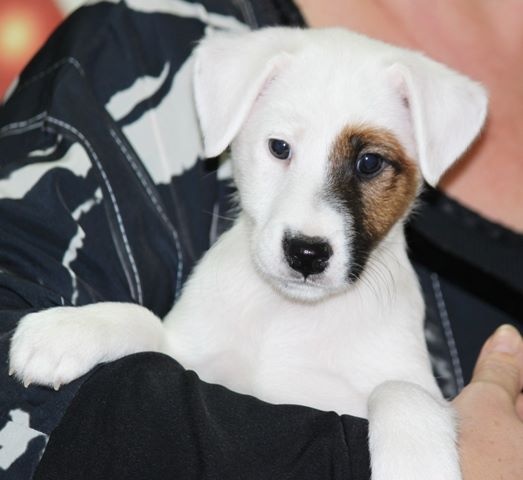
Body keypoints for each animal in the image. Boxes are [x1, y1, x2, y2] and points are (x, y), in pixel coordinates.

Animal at [10, 28, 490, 478]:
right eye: (279, 147)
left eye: (369, 163)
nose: (306, 253)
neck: (290, 316)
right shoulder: (194, 358)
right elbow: (144, 322)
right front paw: (69, 329)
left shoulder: (404, 381)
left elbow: (400, 391)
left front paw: (417, 462)